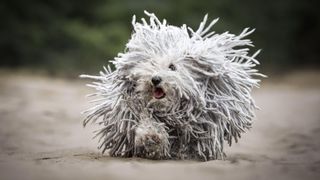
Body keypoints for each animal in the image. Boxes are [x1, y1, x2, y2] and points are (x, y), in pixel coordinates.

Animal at [81, 10, 264, 160]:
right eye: (151, 65)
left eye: (172, 67)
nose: (155, 79)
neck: (172, 109)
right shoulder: (138, 107)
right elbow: (147, 122)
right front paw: (151, 137)